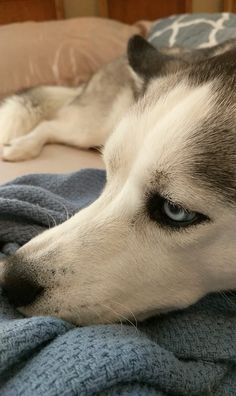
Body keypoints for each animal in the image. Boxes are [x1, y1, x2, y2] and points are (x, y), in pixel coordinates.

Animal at [0, 36, 236, 324]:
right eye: (109, 173)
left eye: (176, 211)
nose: (11, 281)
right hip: (90, 127)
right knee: (51, 125)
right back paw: (22, 146)